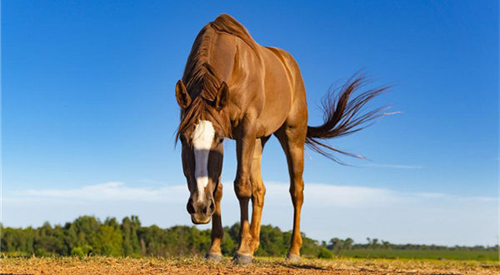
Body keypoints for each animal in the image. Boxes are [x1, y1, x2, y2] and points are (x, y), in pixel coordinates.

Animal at [176, 14, 386, 264]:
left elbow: (241, 187)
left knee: (296, 191)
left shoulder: (244, 129)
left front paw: (241, 251)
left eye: (217, 140)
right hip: (258, 140)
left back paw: (292, 251)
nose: (199, 207)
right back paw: (253, 244)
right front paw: (216, 249)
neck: (234, 63)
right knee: (260, 190)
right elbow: (219, 188)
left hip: (292, 137)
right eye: (184, 139)